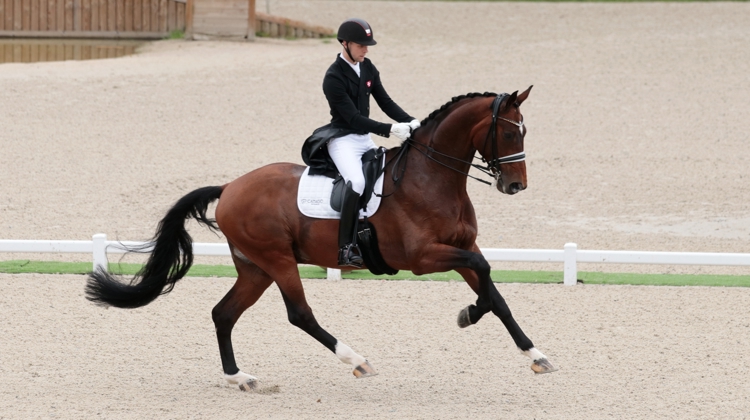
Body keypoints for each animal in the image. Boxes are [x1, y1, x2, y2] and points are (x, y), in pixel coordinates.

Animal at [86, 87, 560, 392]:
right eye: (509, 132)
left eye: (523, 131)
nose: (515, 186)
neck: (432, 178)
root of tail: (230, 187)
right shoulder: (423, 258)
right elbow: (485, 273)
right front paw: (468, 313)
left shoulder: (462, 248)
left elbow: (495, 292)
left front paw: (534, 354)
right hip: (277, 261)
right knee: (300, 314)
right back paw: (357, 360)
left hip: (255, 268)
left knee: (224, 313)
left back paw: (240, 377)